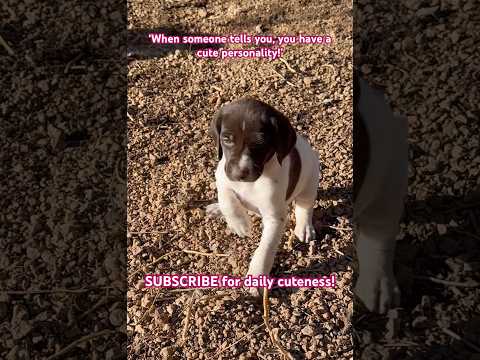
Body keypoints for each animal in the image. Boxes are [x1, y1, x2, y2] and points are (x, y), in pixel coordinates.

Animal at [205, 96, 318, 290]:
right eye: (226, 139)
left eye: (260, 143)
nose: (240, 174)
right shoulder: (222, 175)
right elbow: (227, 198)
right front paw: (239, 223)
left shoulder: (275, 218)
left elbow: (265, 249)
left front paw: (257, 275)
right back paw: (217, 209)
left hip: (310, 181)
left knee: (304, 207)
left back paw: (304, 227)